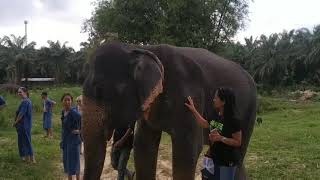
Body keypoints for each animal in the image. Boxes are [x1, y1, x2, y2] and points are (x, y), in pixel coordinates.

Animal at [82, 41, 258, 179]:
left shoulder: (188, 93)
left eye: (100, 90)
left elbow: (187, 151)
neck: (141, 48)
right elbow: (143, 145)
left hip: (249, 112)